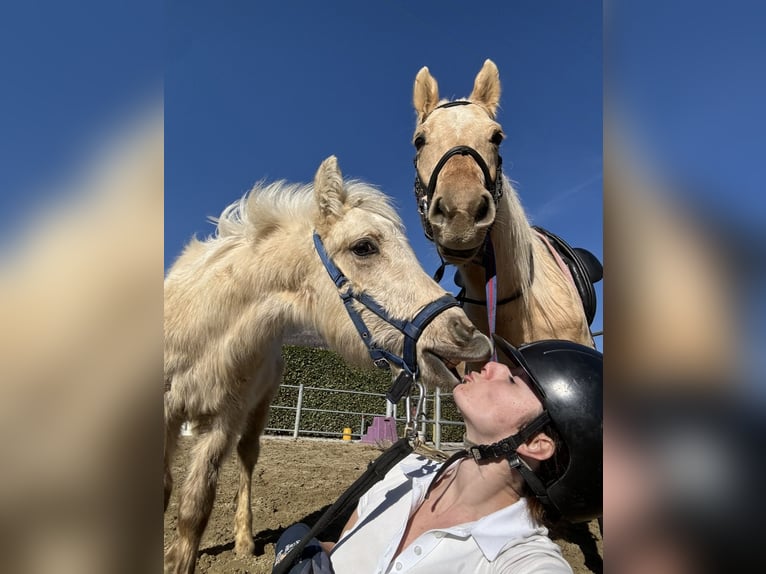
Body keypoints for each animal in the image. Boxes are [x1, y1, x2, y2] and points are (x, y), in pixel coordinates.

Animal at [163, 155, 491, 574]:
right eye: (364, 247)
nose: (470, 337)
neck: (200, 334)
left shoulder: (221, 422)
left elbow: (194, 509)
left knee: (247, 460)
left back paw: (244, 541)